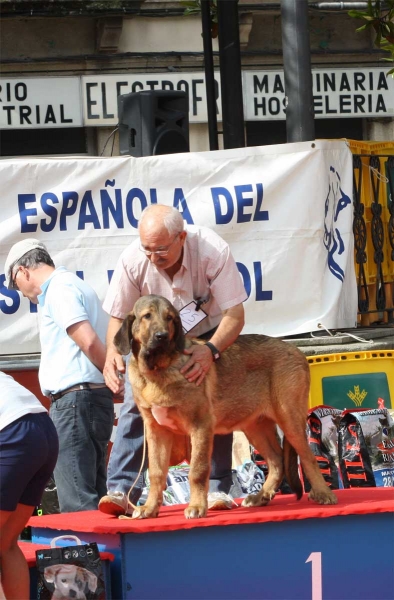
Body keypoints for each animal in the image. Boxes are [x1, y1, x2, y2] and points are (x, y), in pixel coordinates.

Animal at [113, 292, 336, 516]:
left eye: (169, 318)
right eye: (147, 316)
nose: (162, 336)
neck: (157, 370)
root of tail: (297, 350)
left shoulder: (200, 425)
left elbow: (197, 470)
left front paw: (196, 506)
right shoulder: (156, 431)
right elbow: (157, 472)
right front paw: (149, 508)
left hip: (289, 419)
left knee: (308, 457)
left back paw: (323, 493)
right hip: (255, 427)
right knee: (277, 461)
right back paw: (260, 497)